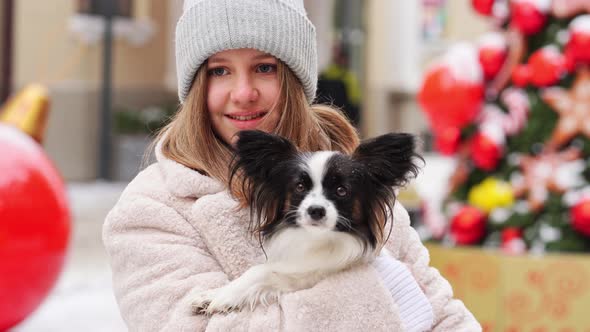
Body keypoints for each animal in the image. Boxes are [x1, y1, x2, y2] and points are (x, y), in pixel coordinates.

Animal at [193, 130, 420, 314]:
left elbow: (260, 270)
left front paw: (222, 297)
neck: (317, 240)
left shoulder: (309, 277)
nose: (316, 210)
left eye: (341, 191)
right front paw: (212, 295)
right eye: (300, 186)